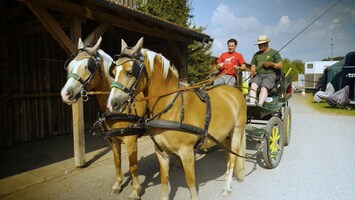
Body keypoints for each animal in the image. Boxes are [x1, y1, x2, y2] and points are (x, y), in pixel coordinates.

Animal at [60, 36, 147, 199]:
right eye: (70, 66)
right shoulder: (112, 139)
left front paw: (135, 191)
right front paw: (117, 185)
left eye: (88, 66)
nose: (65, 94)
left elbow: (133, 166)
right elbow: (117, 162)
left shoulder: (131, 139)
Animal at [107, 38, 248, 200]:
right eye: (113, 72)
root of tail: (234, 91)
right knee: (227, 153)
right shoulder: (161, 152)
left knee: (233, 157)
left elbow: (191, 182)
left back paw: (227, 187)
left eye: (130, 72)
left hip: (237, 130)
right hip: (222, 135)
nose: (113, 104)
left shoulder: (186, 152)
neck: (171, 106)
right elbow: (164, 180)